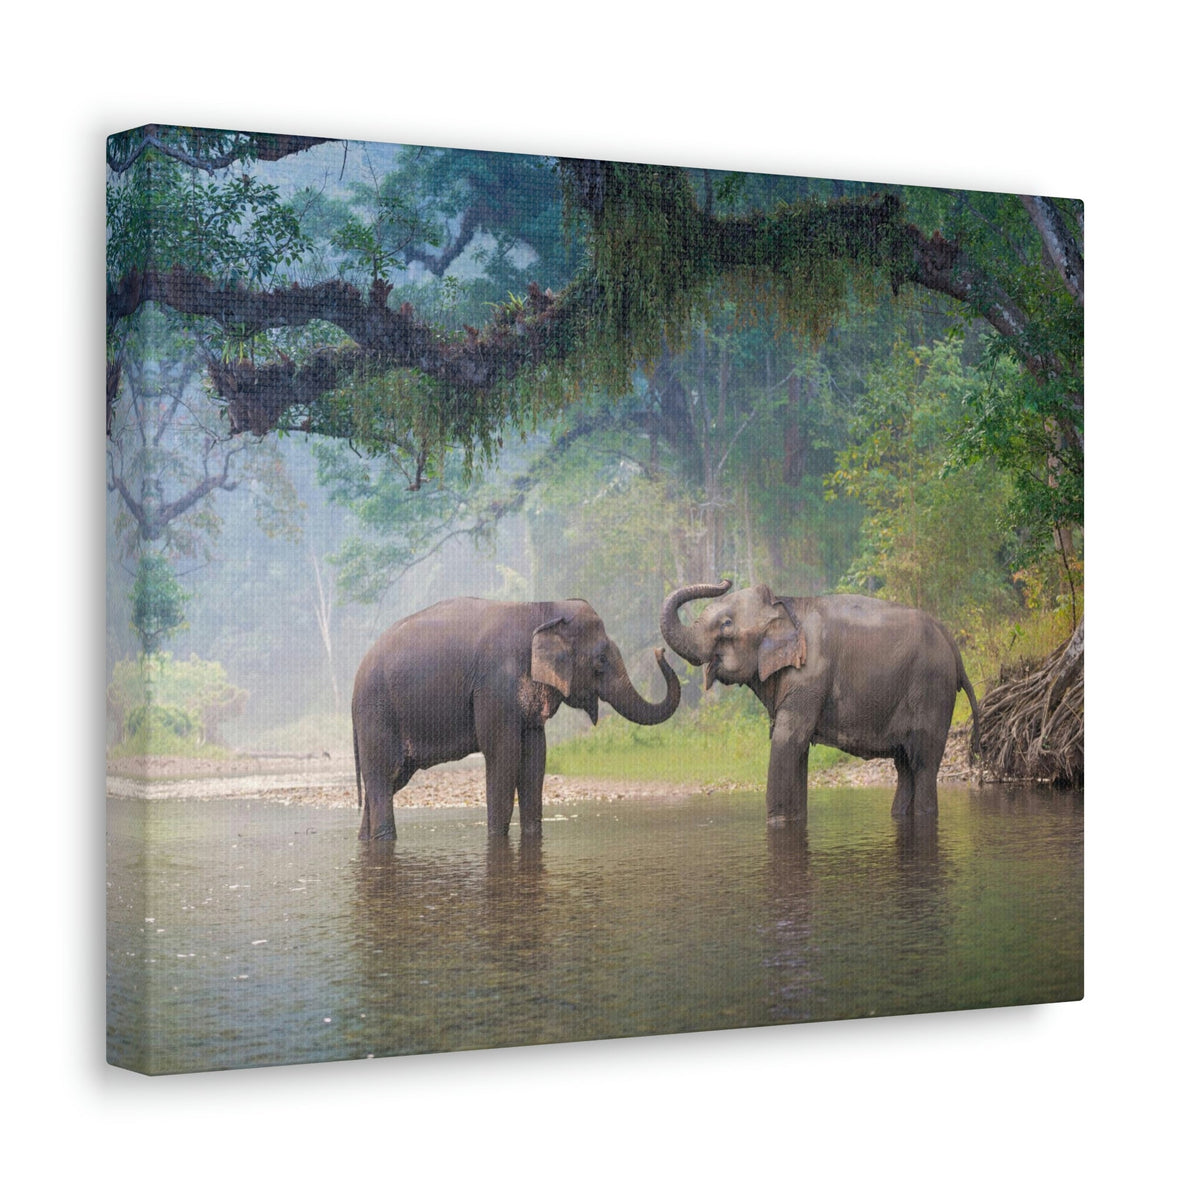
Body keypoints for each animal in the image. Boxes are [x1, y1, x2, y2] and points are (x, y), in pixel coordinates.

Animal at [352, 597, 681, 840]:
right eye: (600, 660)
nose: (660, 650)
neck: (541, 609)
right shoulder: (495, 685)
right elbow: (504, 755)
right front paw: (497, 839)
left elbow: (535, 756)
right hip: (376, 713)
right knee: (383, 778)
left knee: (389, 781)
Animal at [660, 580, 980, 821]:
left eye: (726, 624)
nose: (725, 581)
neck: (785, 605)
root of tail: (954, 647)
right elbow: (796, 749)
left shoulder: (810, 675)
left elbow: (788, 740)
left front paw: (776, 822)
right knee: (904, 767)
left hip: (932, 689)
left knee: (923, 764)